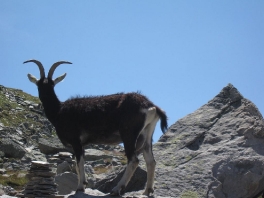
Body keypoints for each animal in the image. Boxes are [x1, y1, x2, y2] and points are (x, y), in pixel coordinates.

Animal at [23, 59, 168, 196]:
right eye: (39, 84)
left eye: (52, 84)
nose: (44, 95)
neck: (59, 110)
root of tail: (151, 106)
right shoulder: (81, 145)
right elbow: (78, 163)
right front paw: (83, 184)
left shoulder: (76, 141)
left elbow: (79, 163)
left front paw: (80, 187)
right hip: (147, 134)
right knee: (151, 161)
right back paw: (147, 191)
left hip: (129, 134)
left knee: (133, 160)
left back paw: (116, 189)